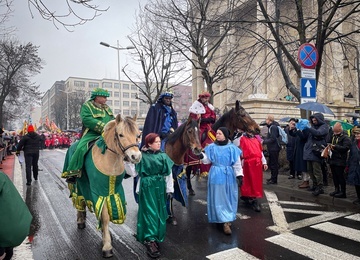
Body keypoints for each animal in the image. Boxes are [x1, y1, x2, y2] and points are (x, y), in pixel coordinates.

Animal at [67, 114, 141, 258]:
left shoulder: (115, 192)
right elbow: (105, 217)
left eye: (138, 135)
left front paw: (106, 236)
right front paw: (107, 245)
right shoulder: (99, 192)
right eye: (121, 134)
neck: (110, 159)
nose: (136, 156)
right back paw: (80, 220)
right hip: (76, 185)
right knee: (79, 201)